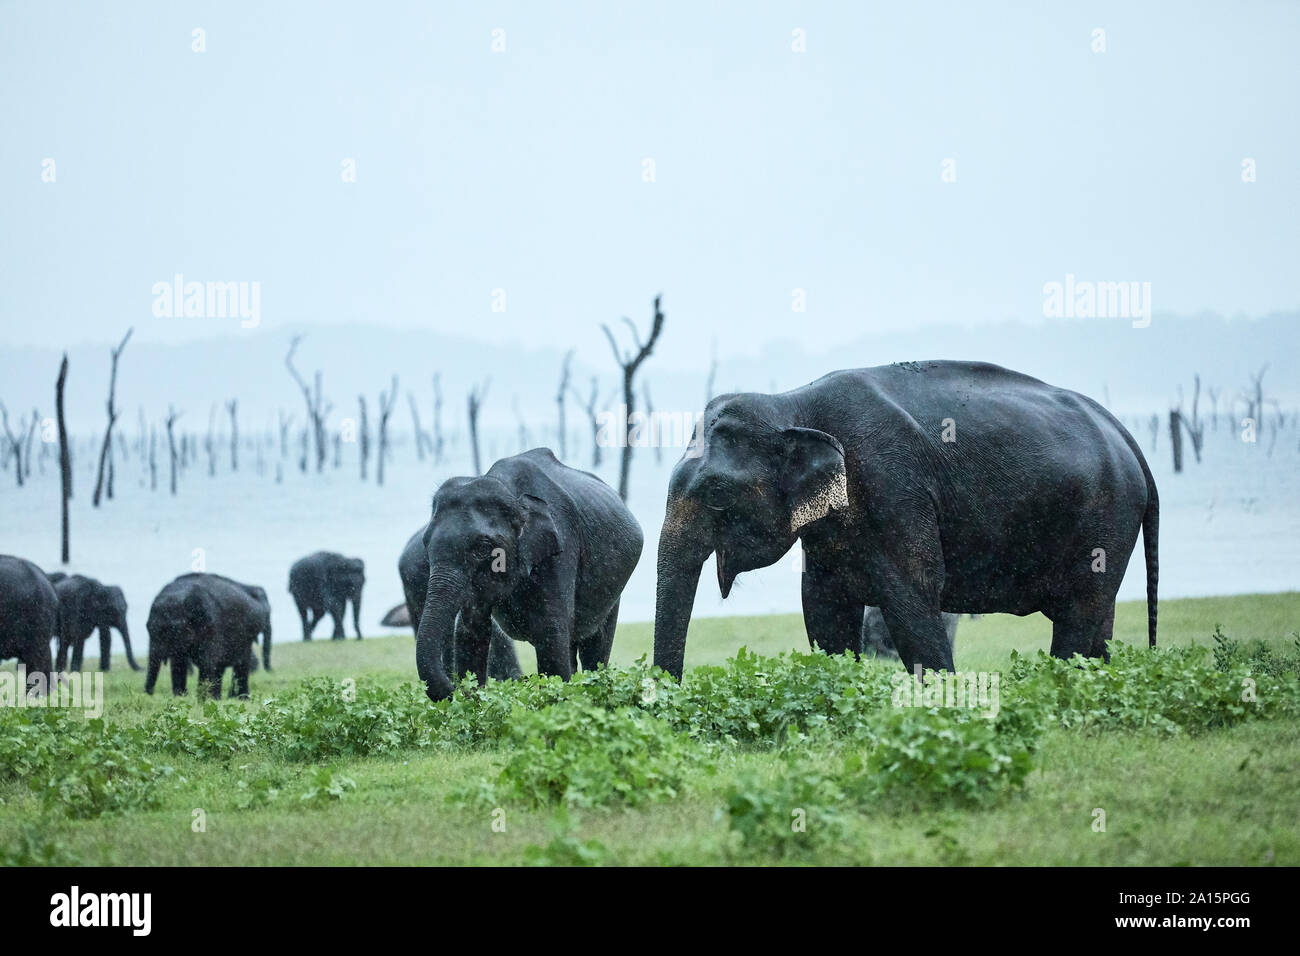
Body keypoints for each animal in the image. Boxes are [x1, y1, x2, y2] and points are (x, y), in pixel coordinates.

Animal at [413, 447, 642, 702]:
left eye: (483, 548)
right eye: (425, 544)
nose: (454, 689)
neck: (509, 491)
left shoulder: (560, 547)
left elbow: (551, 634)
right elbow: (470, 631)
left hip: (614, 589)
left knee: (595, 644)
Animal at [655, 361, 1164, 681]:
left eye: (716, 494)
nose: (671, 697)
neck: (791, 402)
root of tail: (1128, 437)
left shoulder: (894, 489)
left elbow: (913, 598)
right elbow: (823, 607)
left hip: (1104, 519)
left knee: (1079, 615)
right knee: (1099, 619)